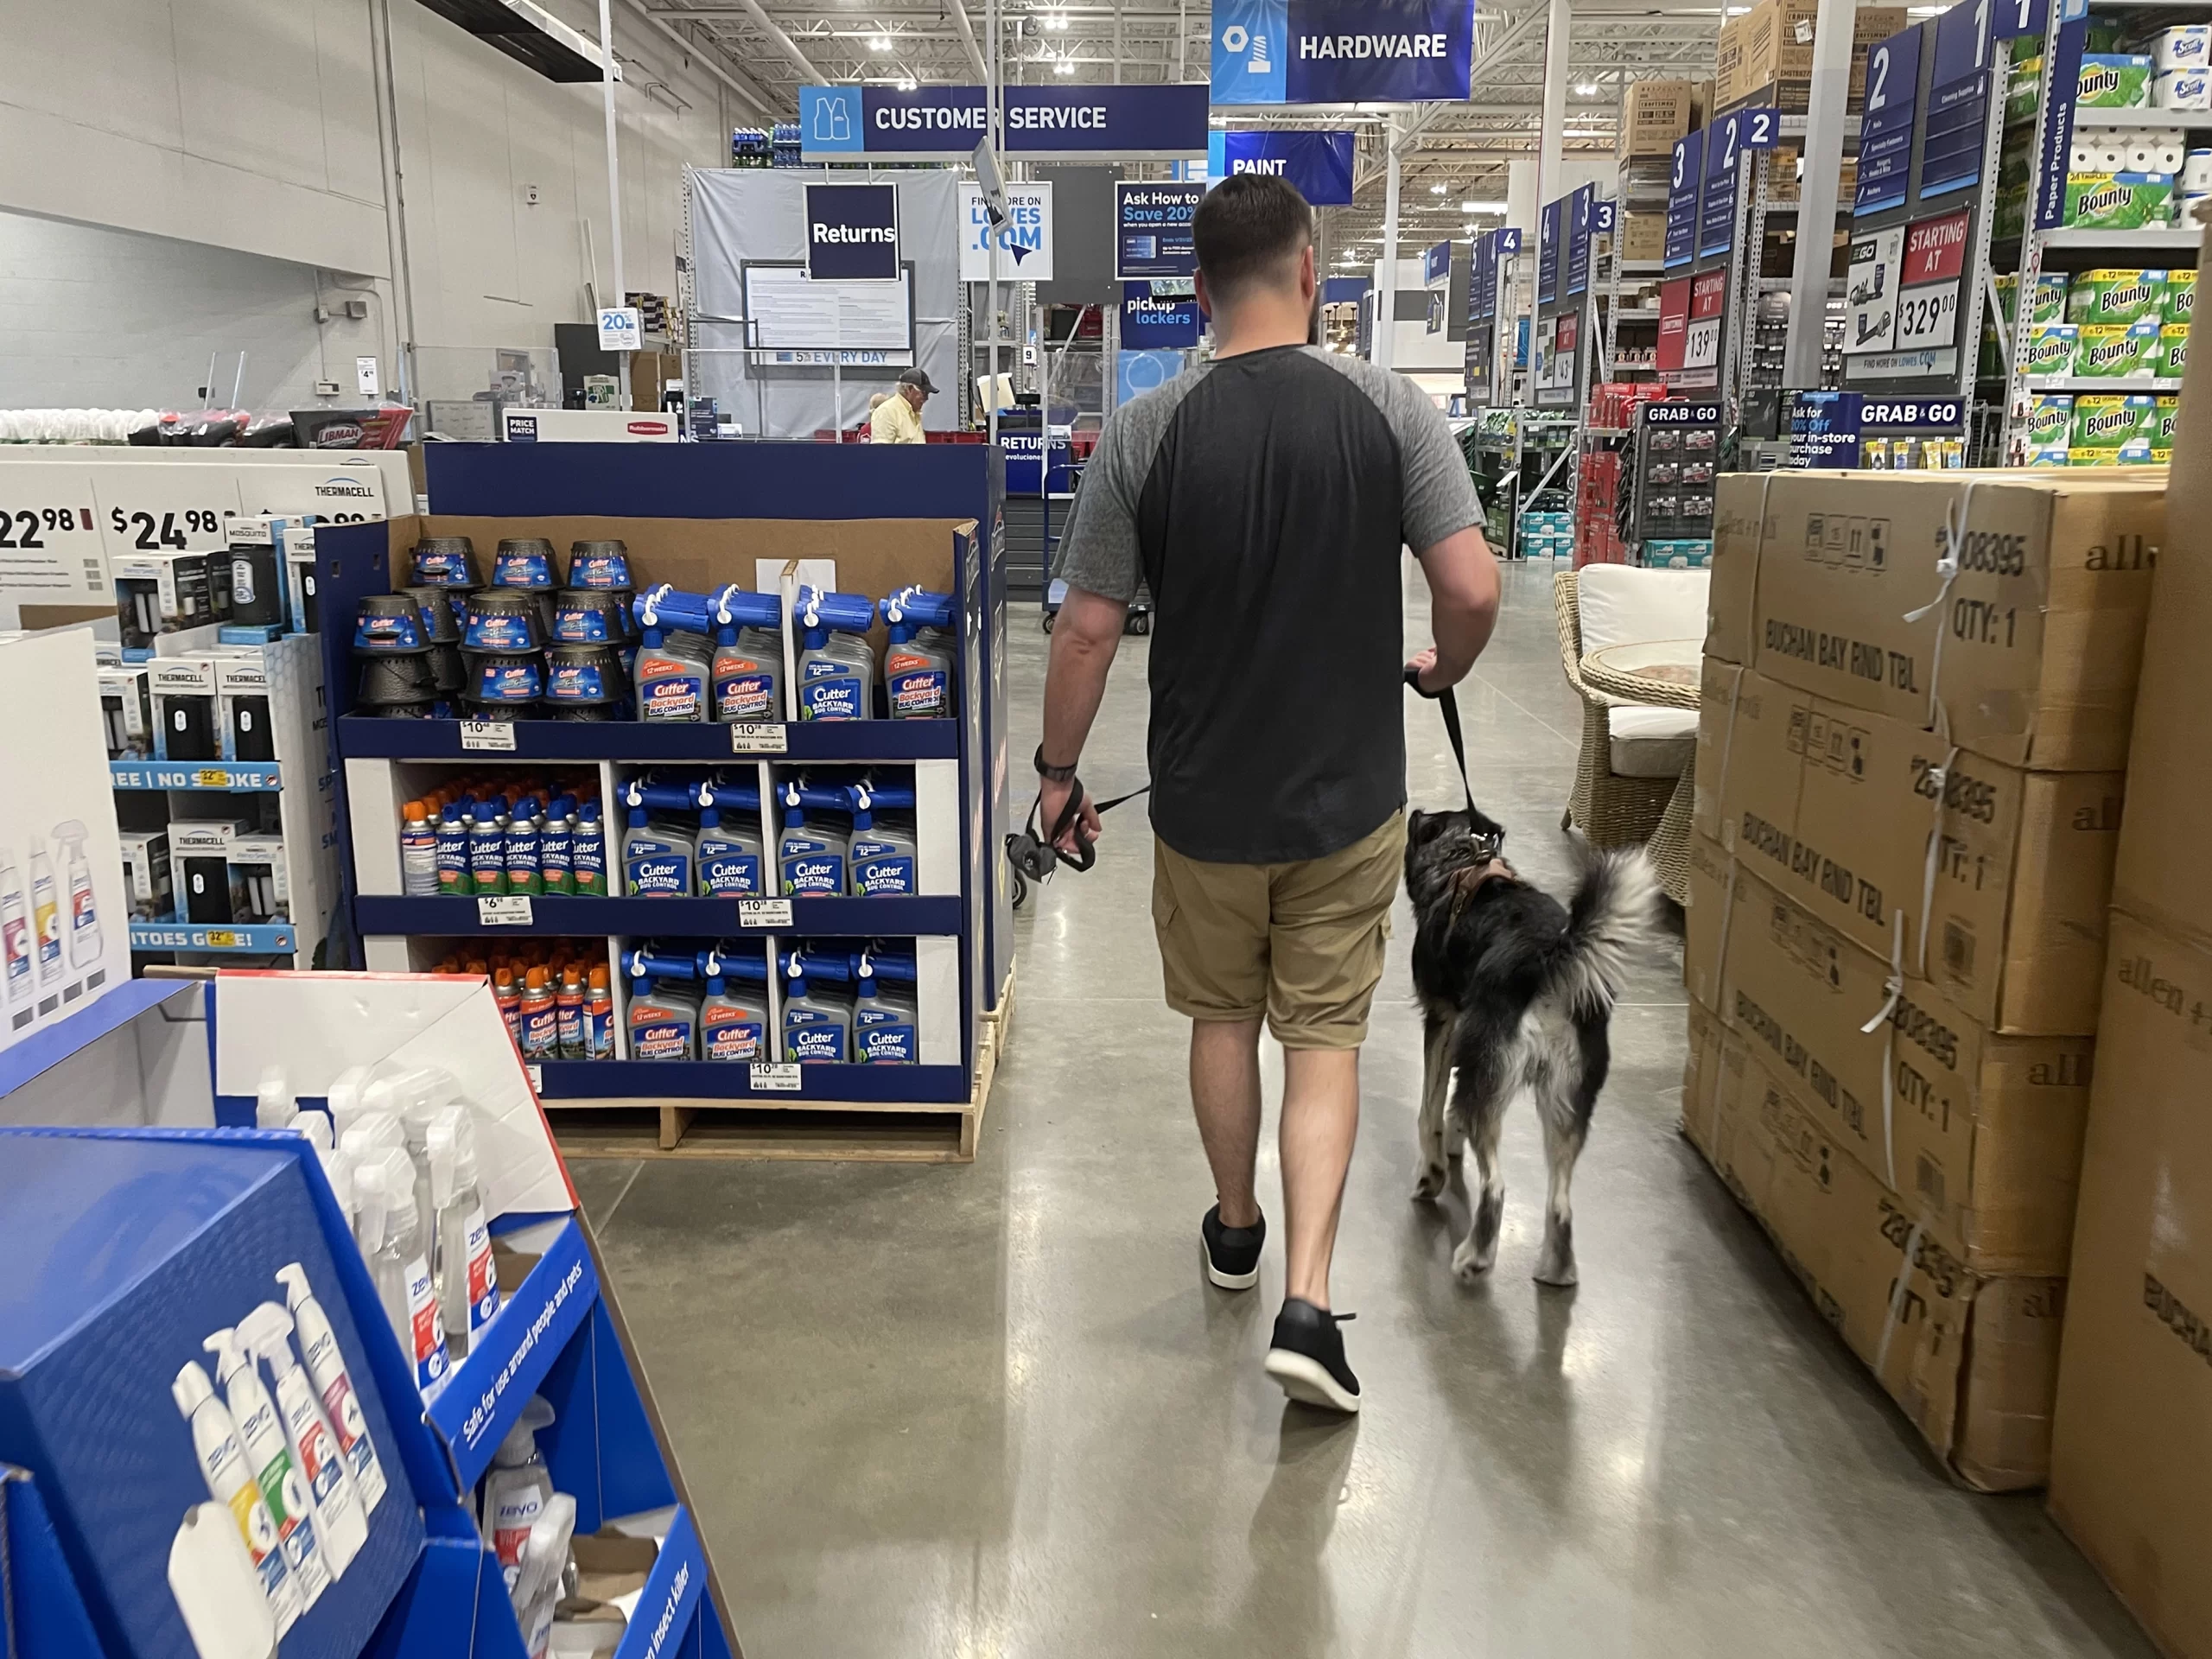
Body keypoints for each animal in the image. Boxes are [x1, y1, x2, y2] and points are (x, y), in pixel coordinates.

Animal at [1397, 814, 1663, 1292]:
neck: (1460, 862)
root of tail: (1549, 960)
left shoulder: (1442, 1019)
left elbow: (1429, 1109)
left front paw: (1432, 1171)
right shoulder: (1465, 1035)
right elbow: (1448, 1106)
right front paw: (1454, 1140)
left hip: (1498, 1073)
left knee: (1496, 1188)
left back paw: (1474, 1257)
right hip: (1564, 1100)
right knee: (1560, 1202)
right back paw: (1556, 1271)